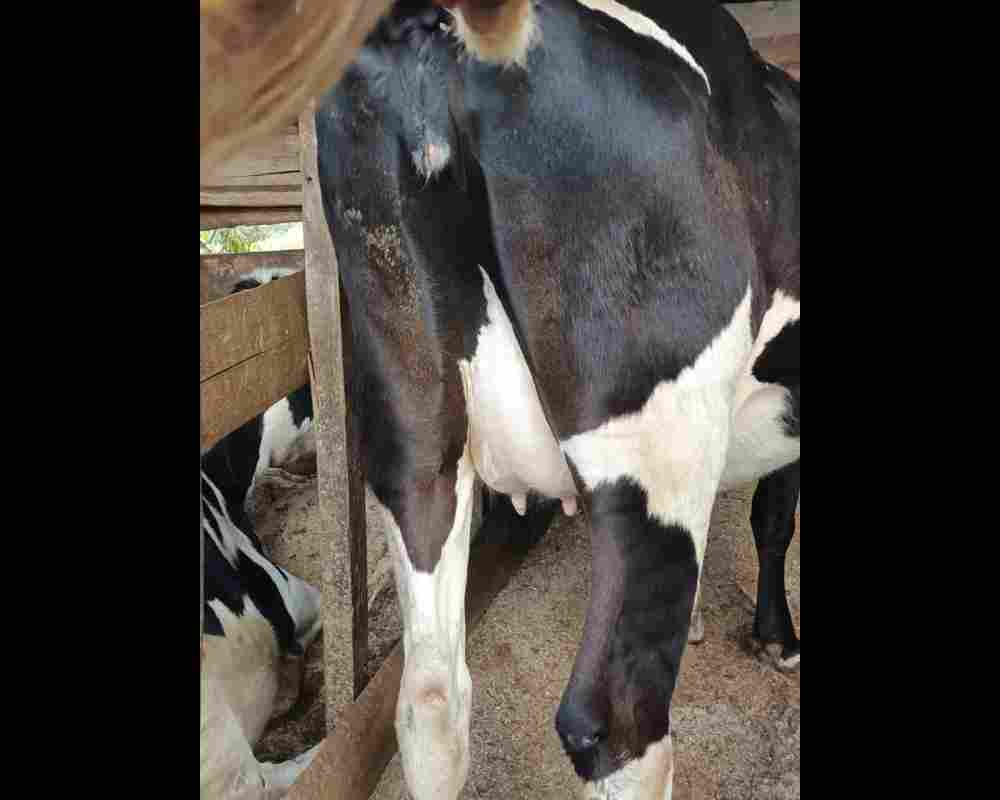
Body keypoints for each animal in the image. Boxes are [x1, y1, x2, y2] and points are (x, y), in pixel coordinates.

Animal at [315, 1, 799, 797]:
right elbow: (774, 519)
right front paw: (777, 637)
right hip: (660, 434)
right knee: (618, 721)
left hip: (415, 437)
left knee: (431, 698)